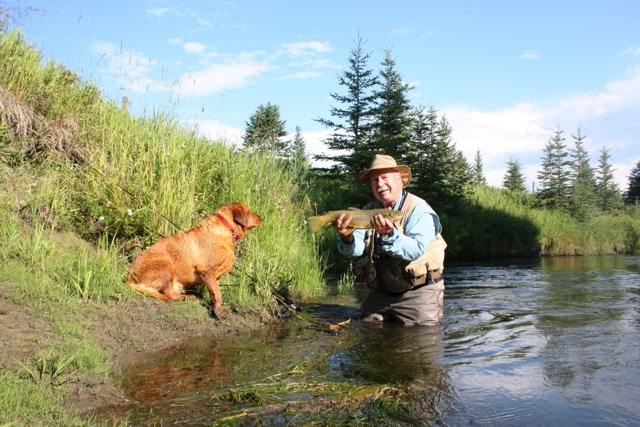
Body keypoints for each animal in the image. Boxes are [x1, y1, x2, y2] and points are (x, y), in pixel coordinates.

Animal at [126, 203, 262, 318]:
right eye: (249, 211)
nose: (261, 217)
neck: (225, 232)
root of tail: (130, 279)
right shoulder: (207, 271)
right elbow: (218, 293)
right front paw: (219, 311)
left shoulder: (215, 277)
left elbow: (214, 293)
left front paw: (216, 307)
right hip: (164, 264)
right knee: (169, 295)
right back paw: (185, 298)